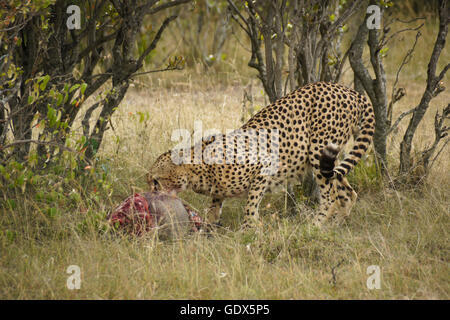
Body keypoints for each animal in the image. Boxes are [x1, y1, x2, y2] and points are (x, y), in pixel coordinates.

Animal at [146, 82, 374, 228]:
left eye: (156, 181)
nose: (150, 194)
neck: (199, 170)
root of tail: (351, 91)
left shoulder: (263, 167)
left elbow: (250, 206)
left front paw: (249, 230)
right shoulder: (219, 191)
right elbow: (213, 209)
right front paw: (208, 232)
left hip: (319, 151)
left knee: (330, 196)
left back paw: (314, 226)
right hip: (328, 159)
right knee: (347, 192)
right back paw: (334, 226)